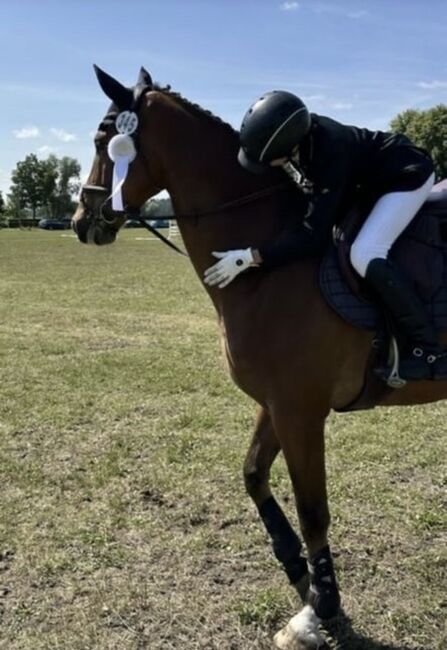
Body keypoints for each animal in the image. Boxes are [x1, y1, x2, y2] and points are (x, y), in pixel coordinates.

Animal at [72, 67, 446, 648]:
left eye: (100, 140)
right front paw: (298, 571)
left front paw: (319, 610)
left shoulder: (300, 411)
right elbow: (252, 474)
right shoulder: (275, 404)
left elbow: (314, 512)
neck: (267, 265)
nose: (81, 221)